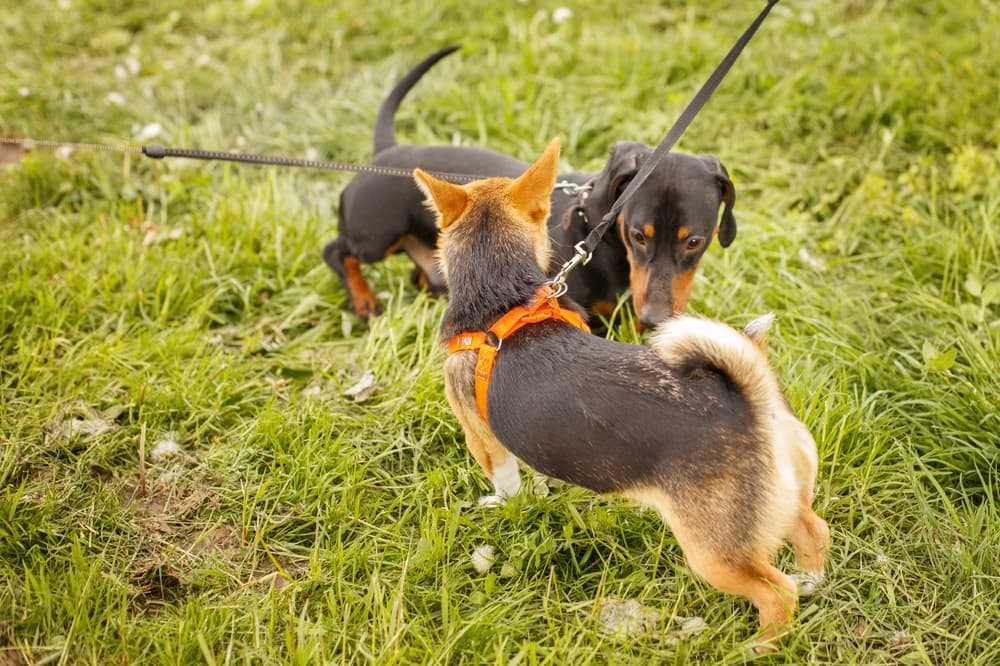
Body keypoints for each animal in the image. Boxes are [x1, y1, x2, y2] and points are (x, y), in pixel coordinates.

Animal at [324, 46, 740, 326]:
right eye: (638, 236)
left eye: (694, 241)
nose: (654, 318)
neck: (599, 240)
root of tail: (387, 151)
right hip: (376, 236)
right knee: (337, 252)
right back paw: (363, 300)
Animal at [412, 139, 828, 644]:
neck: (504, 296)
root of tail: (751, 402)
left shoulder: (482, 436)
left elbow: (505, 479)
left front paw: (503, 503)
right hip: (782, 500)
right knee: (813, 529)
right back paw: (811, 581)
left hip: (714, 552)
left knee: (775, 593)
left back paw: (756, 645)